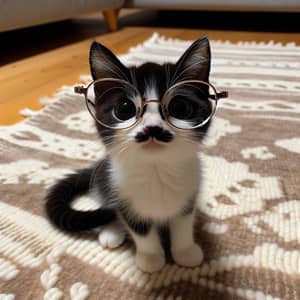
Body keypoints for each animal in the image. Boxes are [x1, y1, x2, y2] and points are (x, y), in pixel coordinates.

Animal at [45, 36, 212, 274]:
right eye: (125, 109)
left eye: (179, 107)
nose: (152, 128)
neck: (156, 170)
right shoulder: (124, 196)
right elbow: (140, 229)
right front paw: (151, 259)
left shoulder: (189, 195)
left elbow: (182, 224)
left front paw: (185, 252)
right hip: (106, 180)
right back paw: (112, 232)